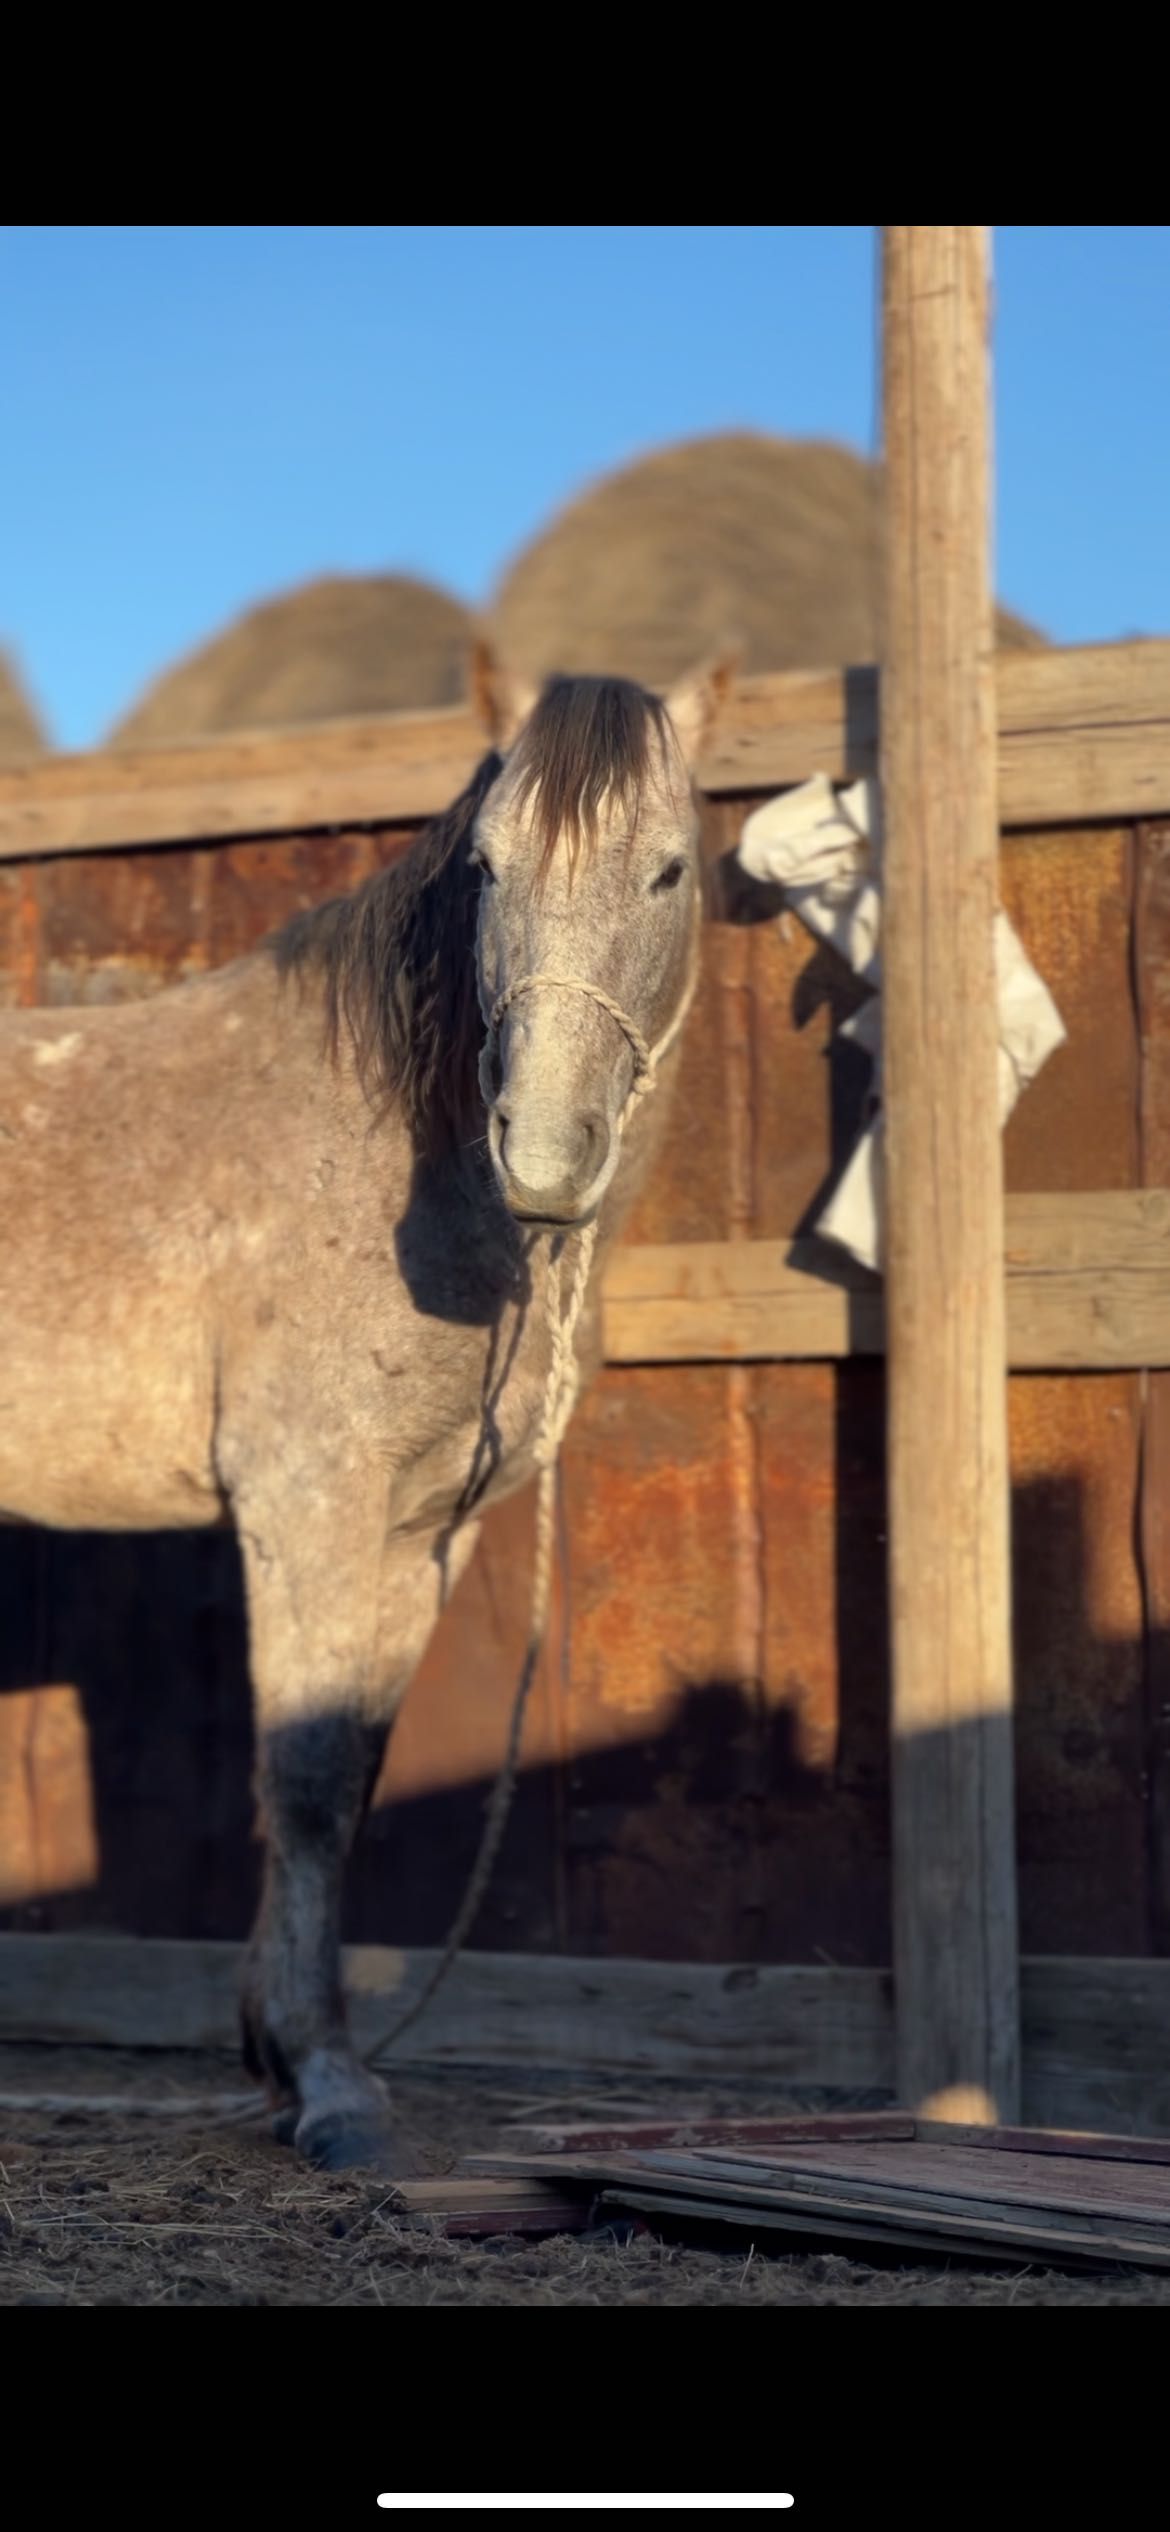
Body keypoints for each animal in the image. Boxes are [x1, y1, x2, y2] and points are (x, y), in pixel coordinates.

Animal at [0, 658, 724, 2177]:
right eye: (489, 868)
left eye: (667, 869)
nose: (543, 1154)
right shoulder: (306, 1507)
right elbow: (313, 1778)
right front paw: (327, 2081)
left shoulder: (417, 1532)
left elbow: (357, 1765)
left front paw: (286, 2063)